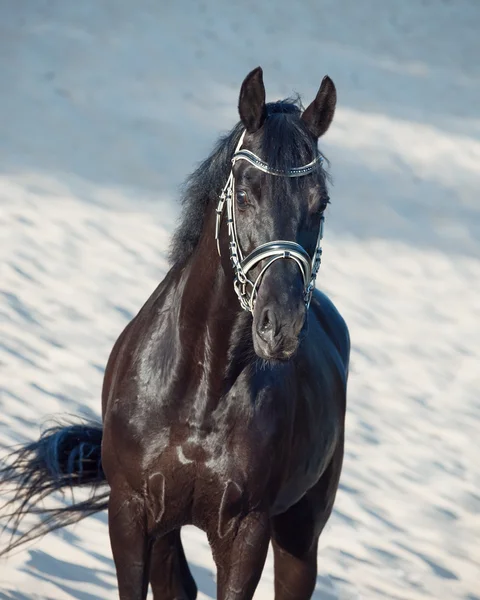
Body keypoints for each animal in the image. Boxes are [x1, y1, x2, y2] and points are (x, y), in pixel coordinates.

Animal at [1, 67, 350, 600]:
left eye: (321, 203)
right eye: (244, 192)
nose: (281, 325)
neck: (200, 391)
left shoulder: (246, 534)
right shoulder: (131, 514)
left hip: (299, 531)